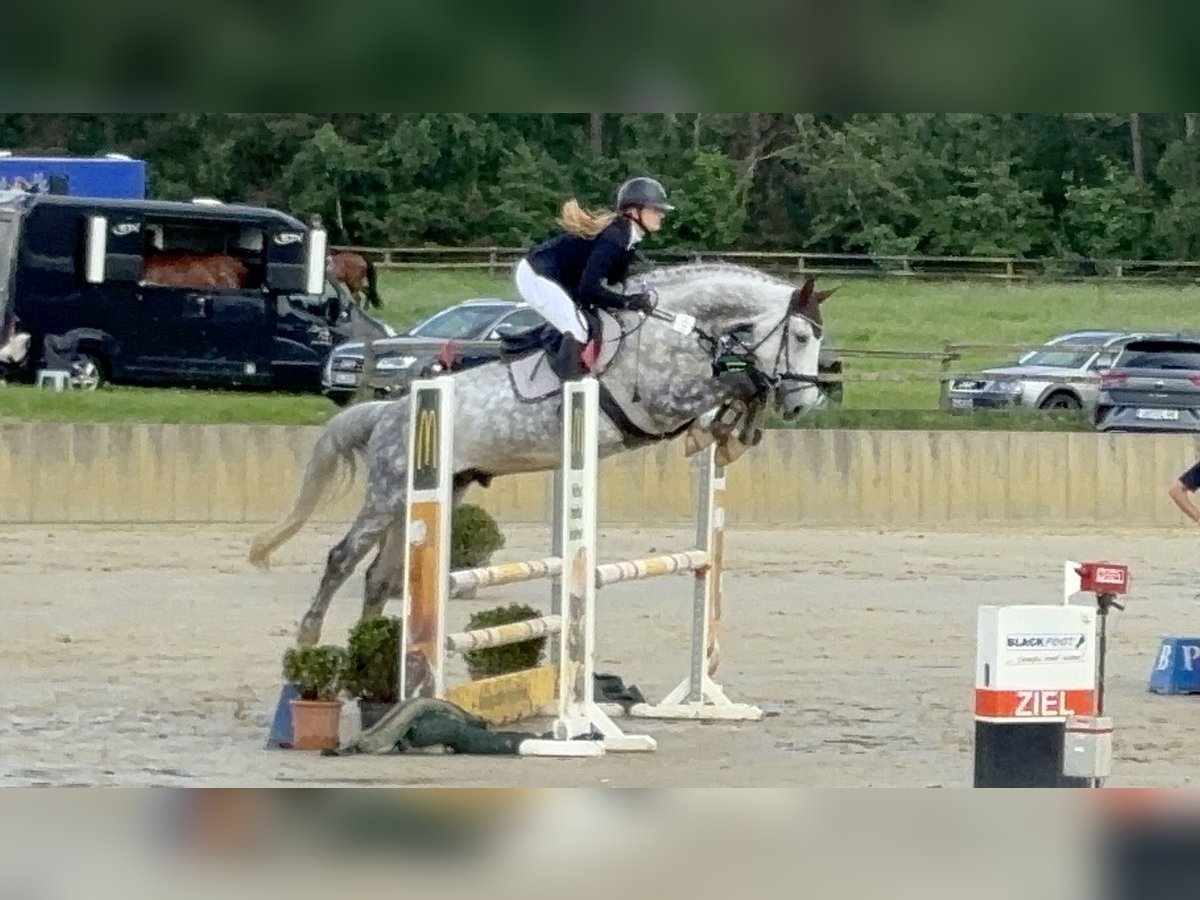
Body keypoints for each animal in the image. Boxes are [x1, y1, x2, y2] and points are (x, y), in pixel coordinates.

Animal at [248, 262, 835, 648]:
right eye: (801, 336)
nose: (803, 403)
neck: (675, 328)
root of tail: (391, 411)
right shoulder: (658, 404)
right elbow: (729, 385)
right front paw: (727, 427)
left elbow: (738, 389)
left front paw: (732, 432)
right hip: (389, 490)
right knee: (342, 558)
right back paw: (308, 637)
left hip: (435, 490)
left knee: (380, 576)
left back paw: (373, 641)